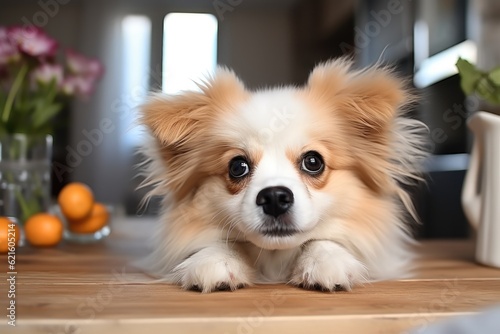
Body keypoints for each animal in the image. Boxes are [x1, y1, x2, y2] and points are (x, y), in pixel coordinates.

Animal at [139, 59, 428, 292]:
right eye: (237, 167)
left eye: (313, 162)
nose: (275, 197)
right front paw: (215, 258)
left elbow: (322, 239)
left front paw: (326, 259)